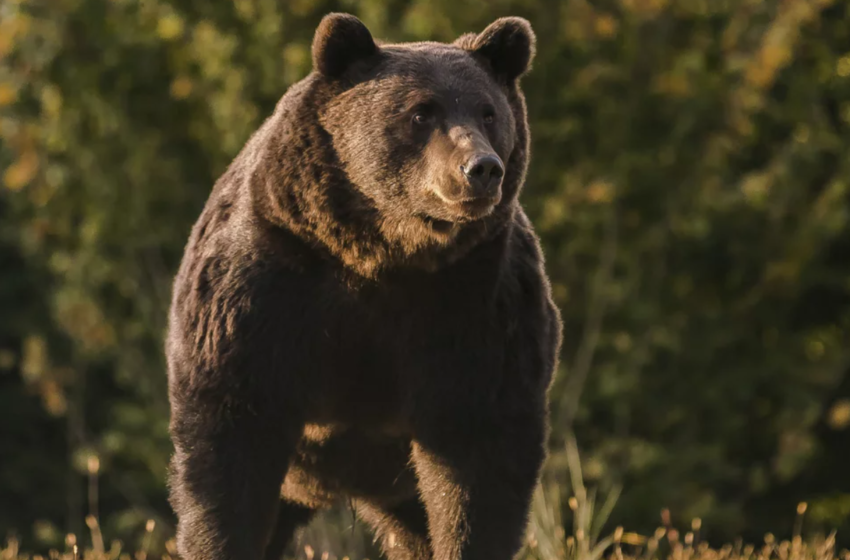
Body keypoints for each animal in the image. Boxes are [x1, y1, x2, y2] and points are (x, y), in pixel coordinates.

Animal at [166, 13, 564, 560]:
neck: (383, 253)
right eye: (420, 113)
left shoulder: (477, 303)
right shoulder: (264, 288)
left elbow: (479, 461)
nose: (482, 168)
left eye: (488, 113)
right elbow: (229, 449)